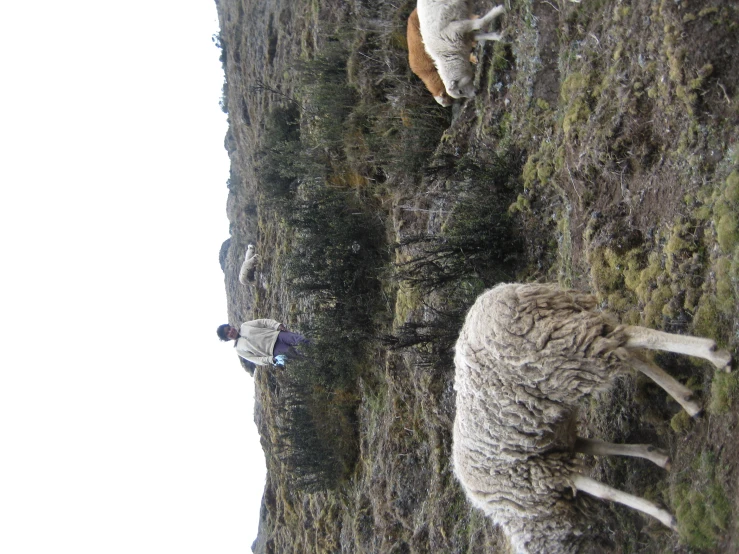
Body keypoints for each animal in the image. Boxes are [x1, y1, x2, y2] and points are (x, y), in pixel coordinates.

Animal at [454, 282, 732, 548]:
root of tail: (511, 293)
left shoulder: (541, 477)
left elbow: (604, 492)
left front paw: (663, 515)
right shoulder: (560, 447)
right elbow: (601, 447)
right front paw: (654, 455)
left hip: (558, 348)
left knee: (631, 335)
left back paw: (716, 355)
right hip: (569, 330)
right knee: (626, 348)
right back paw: (689, 400)